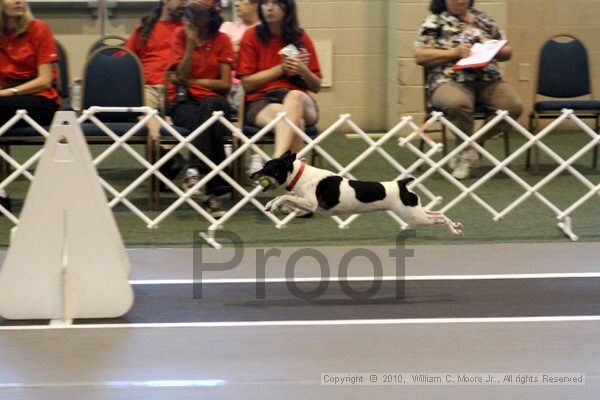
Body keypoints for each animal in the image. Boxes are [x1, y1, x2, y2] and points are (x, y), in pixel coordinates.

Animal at [250, 152, 464, 236]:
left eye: (267, 167)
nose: (251, 175)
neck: (300, 174)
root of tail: (401, 184)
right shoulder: (302, 201)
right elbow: (285, 198)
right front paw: (271, 205)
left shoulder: (311, 204)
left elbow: (286, 196)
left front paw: (274, 204)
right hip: (415, 210)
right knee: (439, 213)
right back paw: (456, 226)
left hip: (413, 216)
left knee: (438, 219)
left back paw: (454, 230)